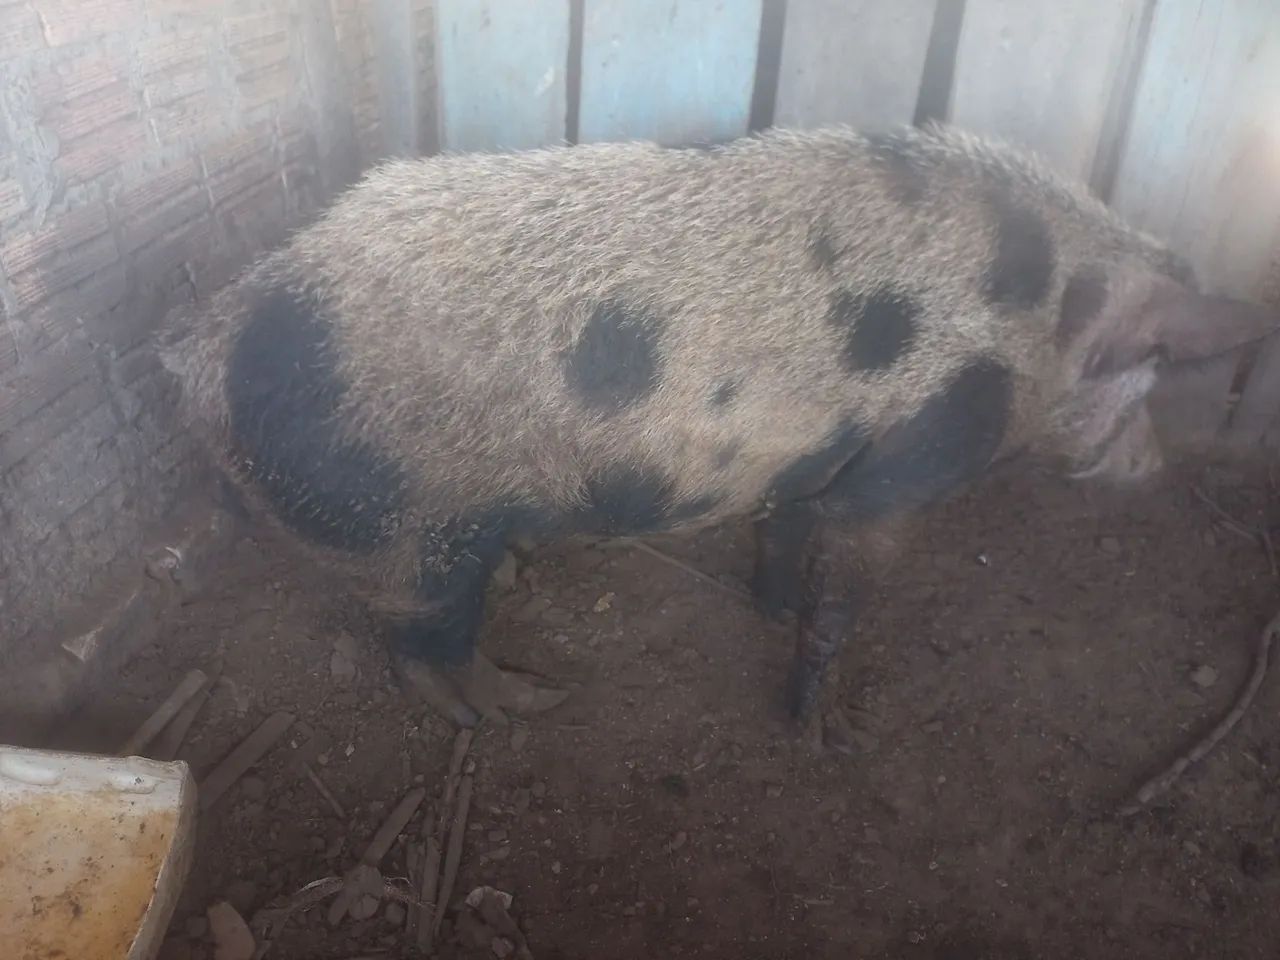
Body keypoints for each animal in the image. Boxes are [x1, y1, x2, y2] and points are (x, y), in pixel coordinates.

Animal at [158, 121, 1277, 730]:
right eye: (1148, 376)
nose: (1151, 466)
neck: (1042, 318)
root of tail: (206, 356)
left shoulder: (810, 459)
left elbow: (786, 533)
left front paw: (770, 609)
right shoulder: (913, 455)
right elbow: (848, 587)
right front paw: (817, 728)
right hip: (411, 523)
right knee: (421, 637)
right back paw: (520, 704)